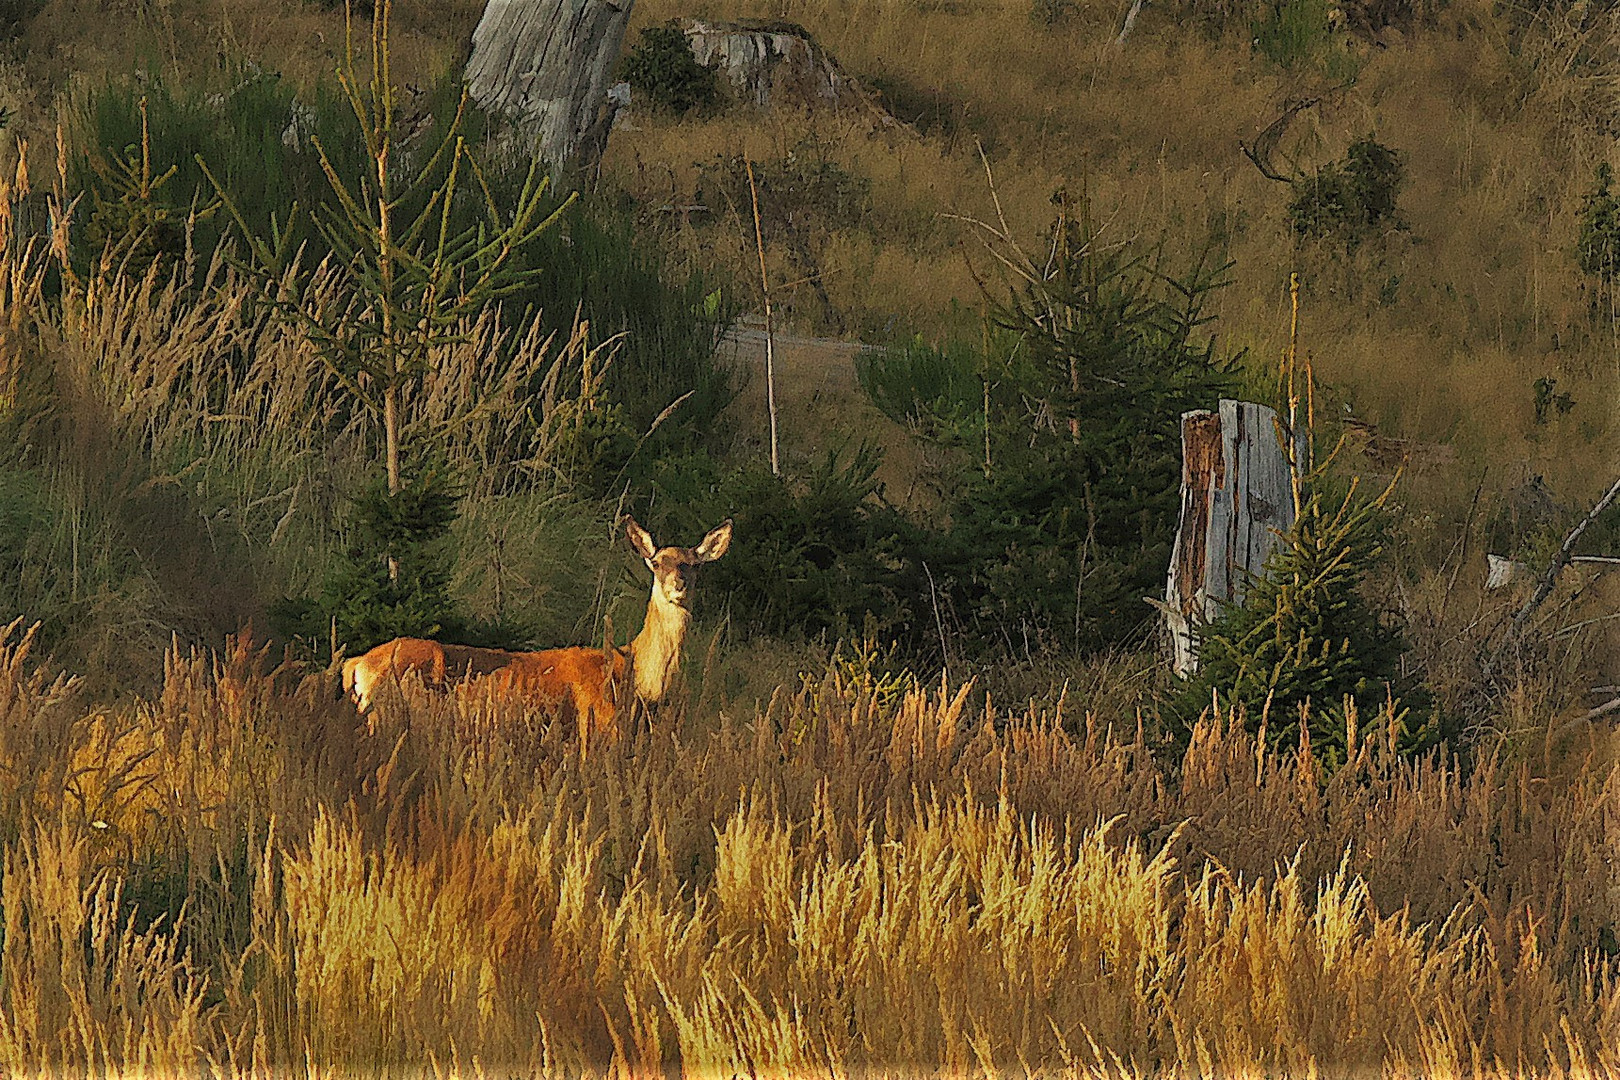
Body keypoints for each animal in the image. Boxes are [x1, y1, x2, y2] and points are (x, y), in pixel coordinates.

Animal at [341, 518, 735, 735]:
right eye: (655, 563)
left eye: (694, 564)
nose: (678, 584)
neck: (635, 679)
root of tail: (356, 664)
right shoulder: (596, 726)